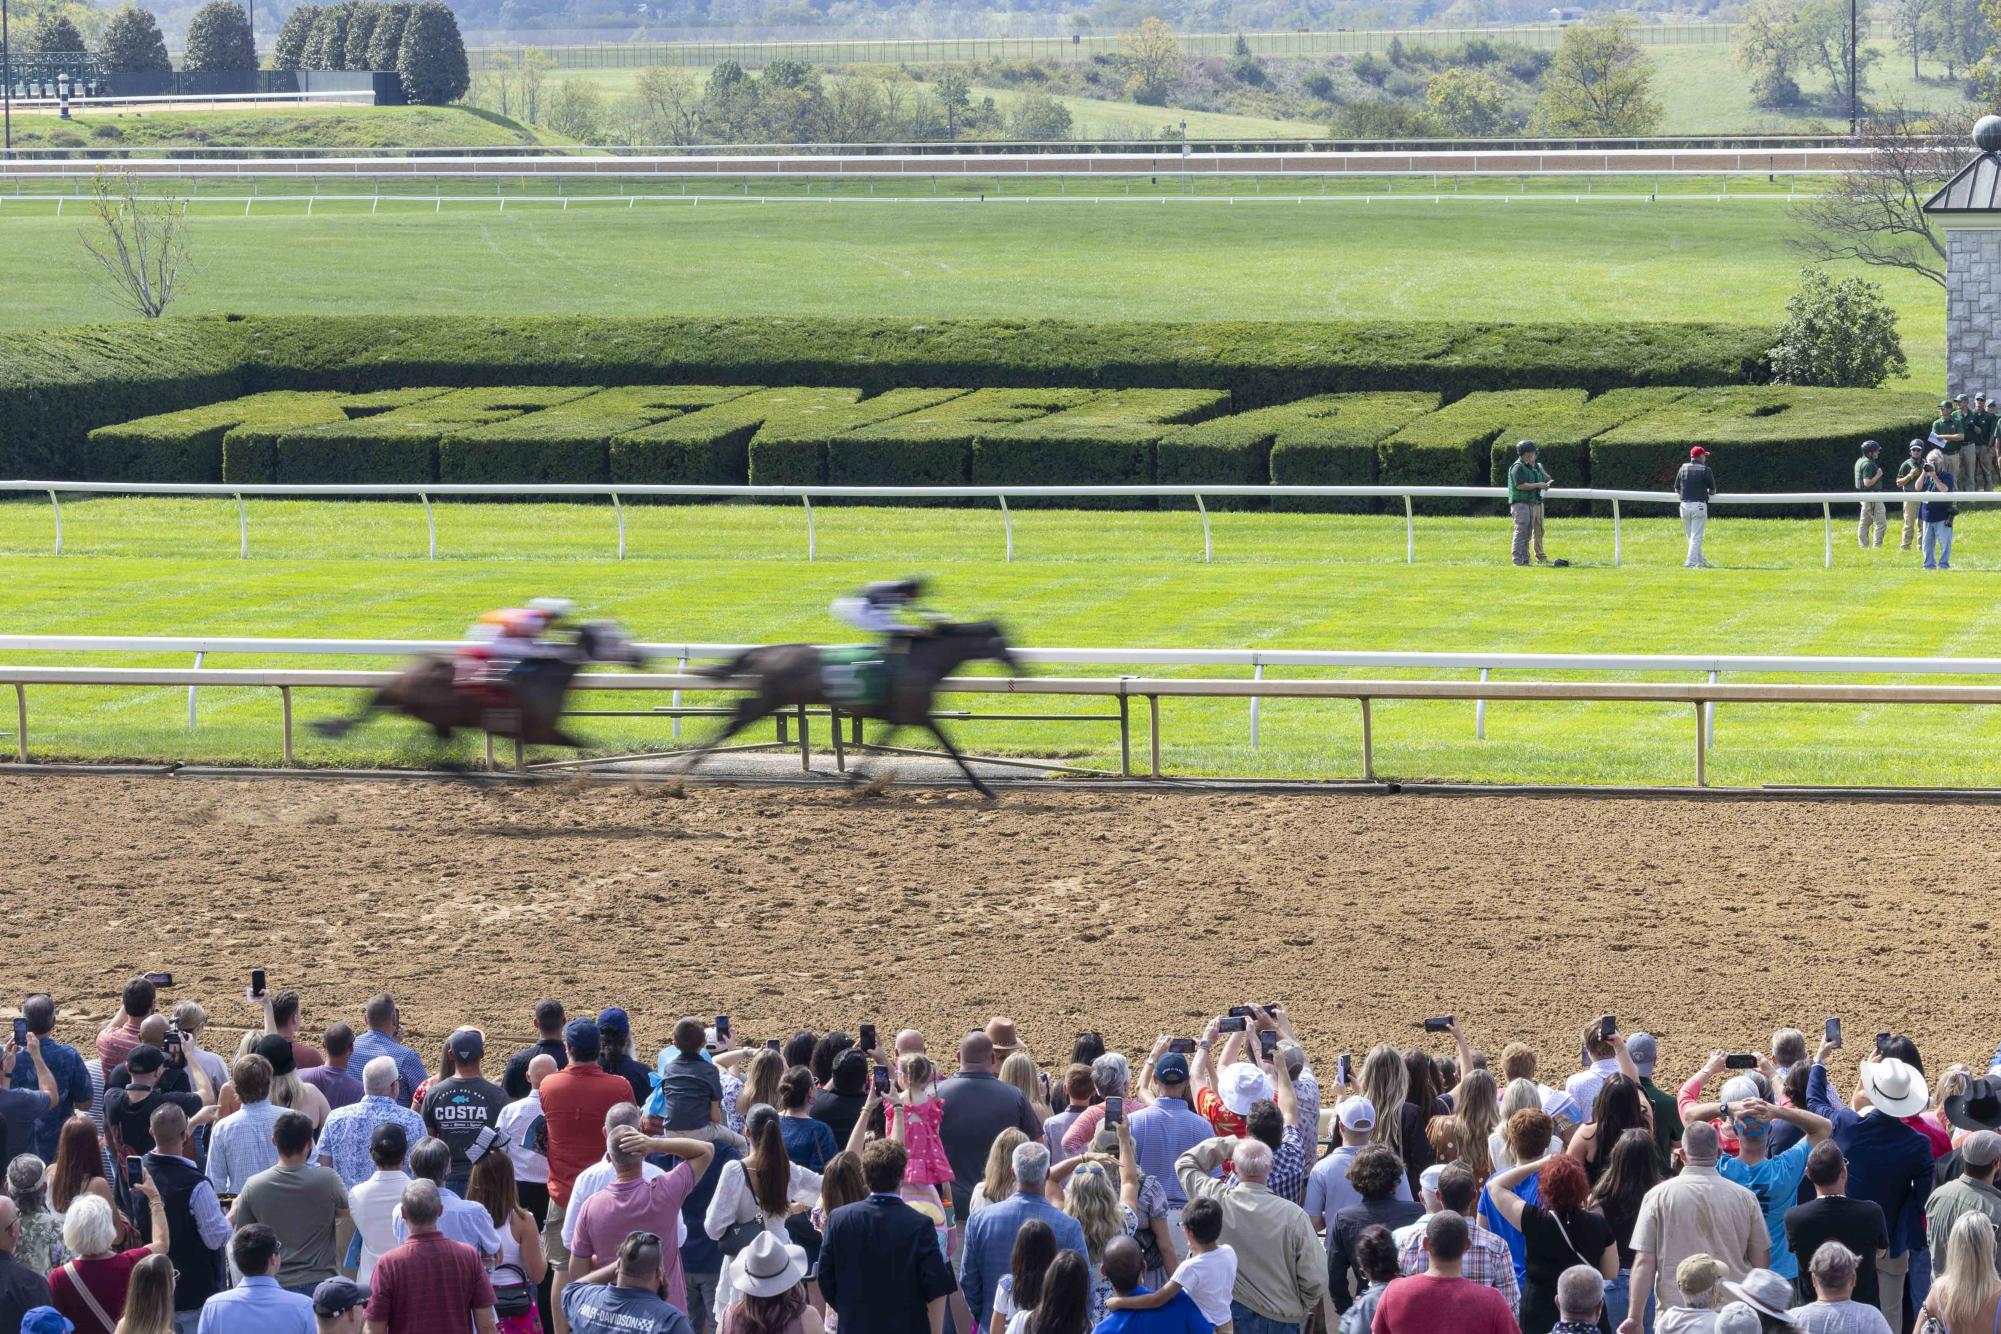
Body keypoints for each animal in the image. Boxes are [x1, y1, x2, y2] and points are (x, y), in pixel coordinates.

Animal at [310, 620, 648, 756]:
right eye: (610, 638)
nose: (640, 657)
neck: (550, 675)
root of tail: (397, 679)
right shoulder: (539, 730)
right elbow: (583, 745)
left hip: (437, 717)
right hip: (435, 711)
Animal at [684, 624, 1024, 800]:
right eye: (1003, 642)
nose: (1019, 665)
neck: (923, 661)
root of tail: (764, 651)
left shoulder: (903, 718)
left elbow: (880, 744)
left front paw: (858, 779)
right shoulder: (916, 714)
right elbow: (949, 746)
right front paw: (985, 788)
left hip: (771, 696)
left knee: (736, 712)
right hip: (773, 696)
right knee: (736, 719)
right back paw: (688, 764)